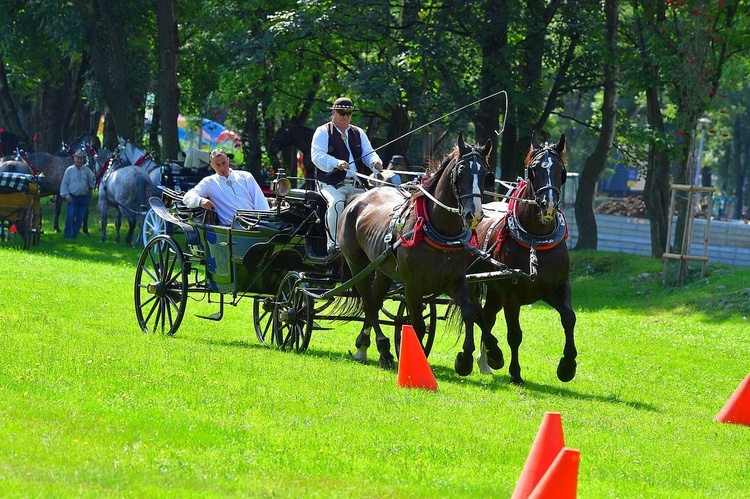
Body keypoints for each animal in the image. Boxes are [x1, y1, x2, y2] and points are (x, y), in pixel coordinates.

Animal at [340, 134, 494, 376]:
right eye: (461, 173)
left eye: (487, 175)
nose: (475, 214)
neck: (439, 230)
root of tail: (356, 200)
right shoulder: (413, 286)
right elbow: (418, 326)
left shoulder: (455, 280)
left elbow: (469, 311)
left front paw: (465, 358)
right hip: (358, 266)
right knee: (368, 304)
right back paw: (382, 348)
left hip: (382, 269)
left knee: (374, 300)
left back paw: (364, 347)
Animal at [472, 131, 580, 384]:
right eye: (533, 169)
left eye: (561, 170)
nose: (548, 205)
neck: (535, 240)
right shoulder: (512, 295)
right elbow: (515, 334)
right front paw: (515, 373)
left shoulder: (556, 287)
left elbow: (569, 318)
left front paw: (567, 366)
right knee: (476, 314)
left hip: (494, 291)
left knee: (487, 317)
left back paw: (485, 361)